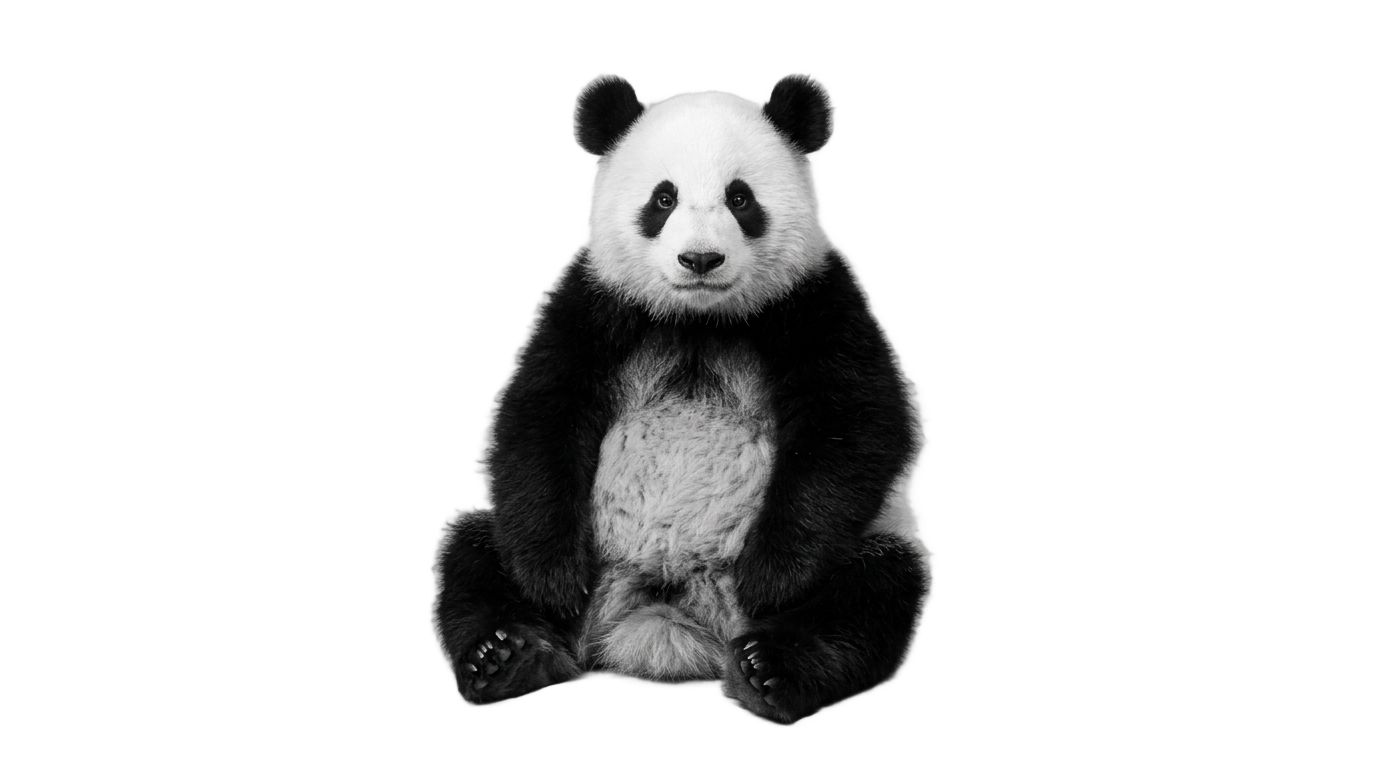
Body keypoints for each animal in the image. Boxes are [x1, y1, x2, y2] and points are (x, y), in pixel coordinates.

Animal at [433, 74, 926, 722]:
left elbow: (858, 422)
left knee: (875, 590)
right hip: (557, 553)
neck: (699, 319)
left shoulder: (812, 299)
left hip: (865, 544)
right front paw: (552, 579)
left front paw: (772, 579)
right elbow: (537, 415)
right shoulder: (594, 303)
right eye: (662, 199)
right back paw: (508, 655)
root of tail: (662, 621)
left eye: (740, 198)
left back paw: (771, 668)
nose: (700, 259)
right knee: (473, 552)